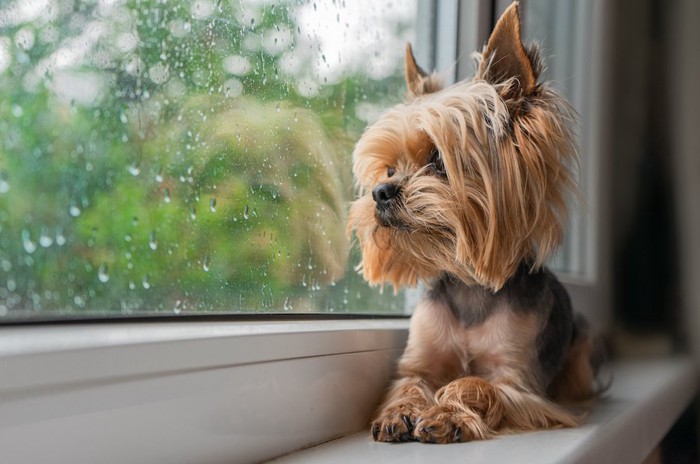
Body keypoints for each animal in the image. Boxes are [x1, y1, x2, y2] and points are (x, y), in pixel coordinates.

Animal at [348, 1, 600, 444]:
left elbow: (478, 384)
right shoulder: (419, 360)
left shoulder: (518, 381)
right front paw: (399, 411)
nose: (381, 192)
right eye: (390, 169)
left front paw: (446, 413)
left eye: (438, 160)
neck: (469, 286)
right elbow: (410, 381)